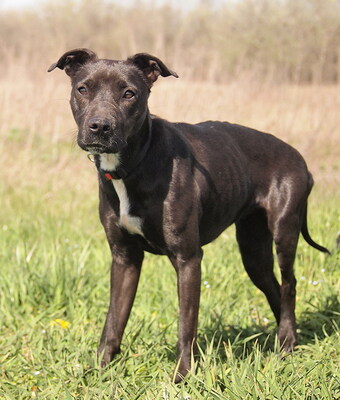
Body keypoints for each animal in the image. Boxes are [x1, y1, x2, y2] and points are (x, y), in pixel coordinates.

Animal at [48, 48, 330, 382]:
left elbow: (186, 325)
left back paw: (286, 345)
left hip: (284, 233)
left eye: (129, 94)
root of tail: (299, 156)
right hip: (253, 252)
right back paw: (284, 339)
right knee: (275, 289)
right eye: (83, 89)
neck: (136, 162)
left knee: (289, 285)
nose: (100, 127)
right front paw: (101, 371)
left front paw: (182, 376)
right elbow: (114, 321)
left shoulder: (187, 259)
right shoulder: (124, 258)